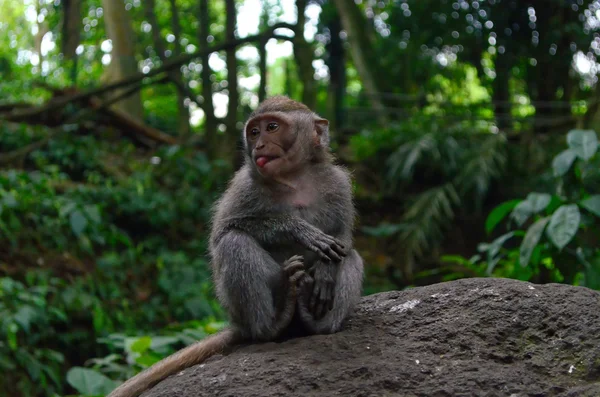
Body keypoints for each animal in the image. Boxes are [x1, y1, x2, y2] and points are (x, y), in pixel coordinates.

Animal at [105, 96, 364, 396]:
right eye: (254, 132)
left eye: (272, 127)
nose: (259, 145)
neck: (294, 178)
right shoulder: (244, 185)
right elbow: (223, 233)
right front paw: (298, 229)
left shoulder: (338, 183)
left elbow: (341, 237)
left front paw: (325, 272)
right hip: (236, 307)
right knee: (235, 243)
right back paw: (273, 321)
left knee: (351, 256)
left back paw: (318, 324)